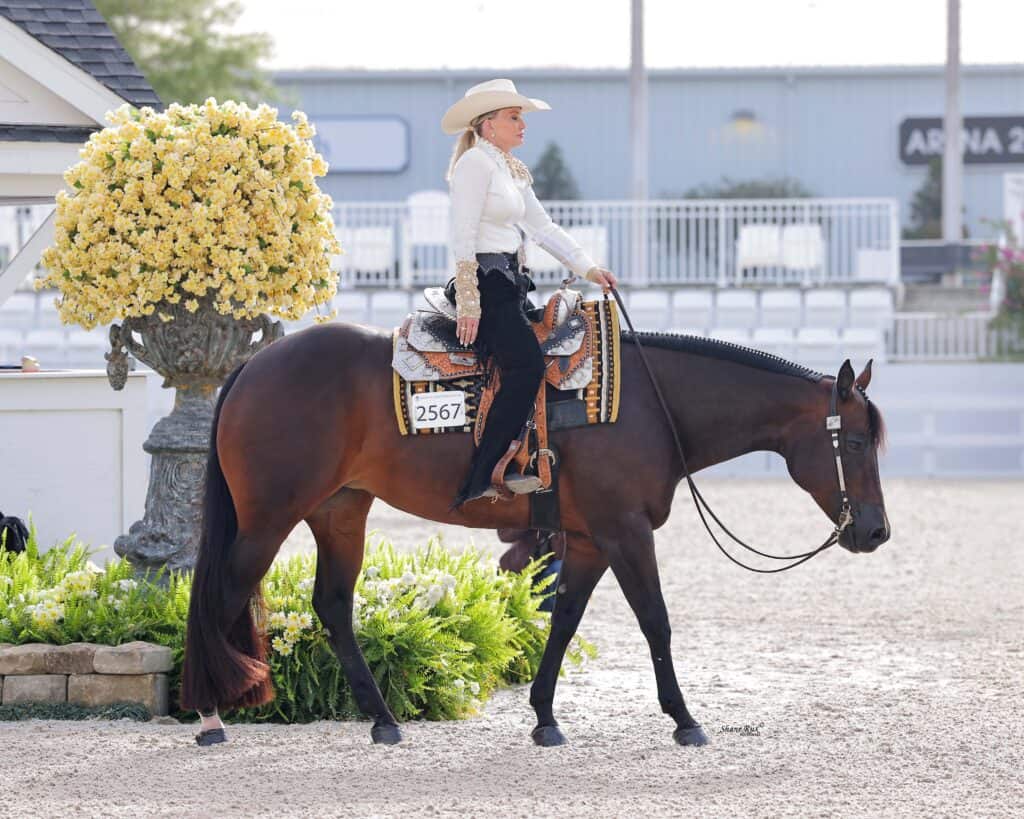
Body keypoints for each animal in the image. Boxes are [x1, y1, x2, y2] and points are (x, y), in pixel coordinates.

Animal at [181, 319, 889, 747]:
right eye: (854, 442)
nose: (877, 532)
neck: (649, 405)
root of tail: (252, 364)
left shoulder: (588, 540)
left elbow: (565, 622)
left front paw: (545, 718)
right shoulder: (626, 532)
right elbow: (655, 622)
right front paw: (685, 720)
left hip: (340, 511)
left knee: (331, 606)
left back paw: (383, 721)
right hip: (268, 520)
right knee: (220, 596)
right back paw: (209, 715)